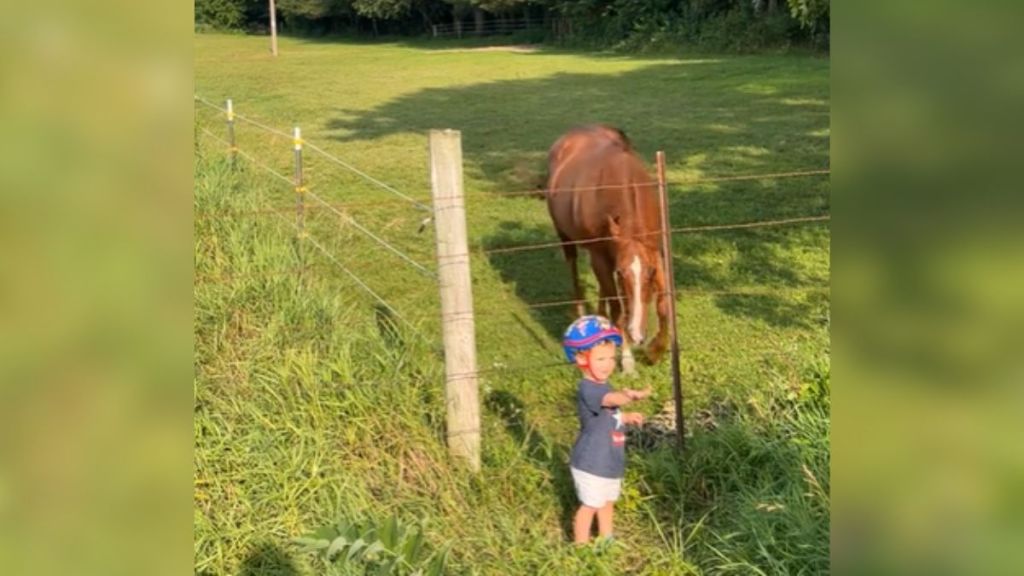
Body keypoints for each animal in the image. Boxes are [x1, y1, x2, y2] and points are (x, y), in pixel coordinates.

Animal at [544, 124, 671, 373]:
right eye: (621, 274)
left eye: (650, 272)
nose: (637, 334)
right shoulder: (602, 258)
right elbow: (618, 309)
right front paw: (628, 361)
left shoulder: (655, 255)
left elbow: (663, 304)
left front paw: (656, 351)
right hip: (567, 239)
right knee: (574, 270)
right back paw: (582, 315)